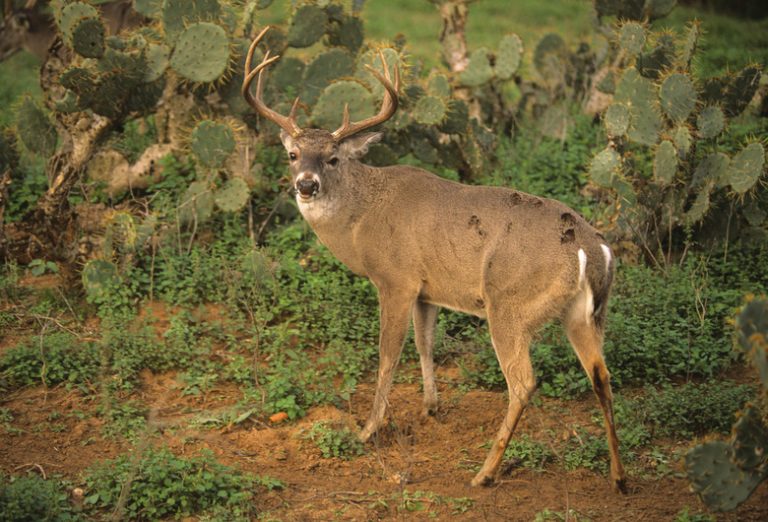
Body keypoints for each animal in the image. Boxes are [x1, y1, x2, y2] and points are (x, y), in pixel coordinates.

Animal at [243, 26, 628, 490]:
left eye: (333, 158)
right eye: (293, 155)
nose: (306, 184)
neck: (361, 219)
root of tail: (592, 248)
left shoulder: (396, 279)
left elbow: (388, 354)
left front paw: (368, 429)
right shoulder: (428, 290)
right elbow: (425, 344)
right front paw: (431, 407)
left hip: (508, 301)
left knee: (523, 382)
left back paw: (484, 473)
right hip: (586, 314)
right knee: (603, 376)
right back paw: (619, 477)